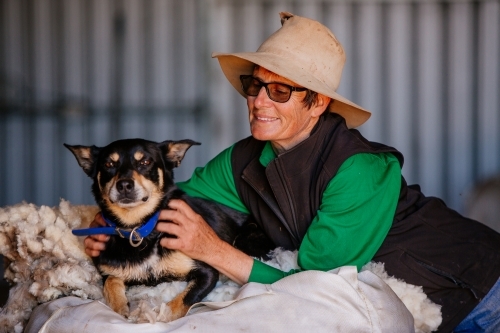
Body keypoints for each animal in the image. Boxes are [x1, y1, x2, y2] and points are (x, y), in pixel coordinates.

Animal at [65, 138, 274, 322]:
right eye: (109, 164)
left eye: (145, 162)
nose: (124, 185)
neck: (138, 230)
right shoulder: (110, 272)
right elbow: (111, 282)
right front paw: (119, 307)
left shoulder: (206, 272)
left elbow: (183, 300)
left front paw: (162, 317)